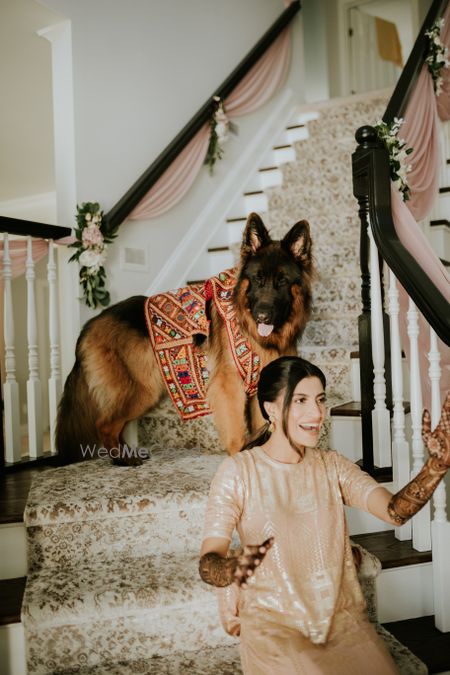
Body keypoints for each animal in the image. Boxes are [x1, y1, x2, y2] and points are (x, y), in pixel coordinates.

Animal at [55, 214, 312, 462]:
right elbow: (237, 433)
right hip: (142, 390)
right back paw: (122, 460)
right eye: (258, 279)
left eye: (282, 281)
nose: (262, 316)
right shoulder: (228, 386)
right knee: (104, 425)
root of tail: (89, 324)